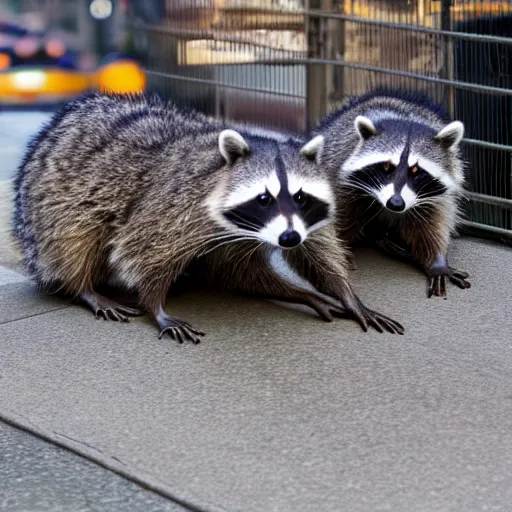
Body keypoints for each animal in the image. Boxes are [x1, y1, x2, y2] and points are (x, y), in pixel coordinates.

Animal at [13, 92, 404, 342]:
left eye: (300, 197)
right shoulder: (176, 207)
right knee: (73, 239)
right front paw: (154, 303)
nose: (289, 238)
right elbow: (141, 249)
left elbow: (253, 268)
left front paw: (333, 293)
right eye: (264, 198)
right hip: (54, 198)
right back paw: (84, 287)